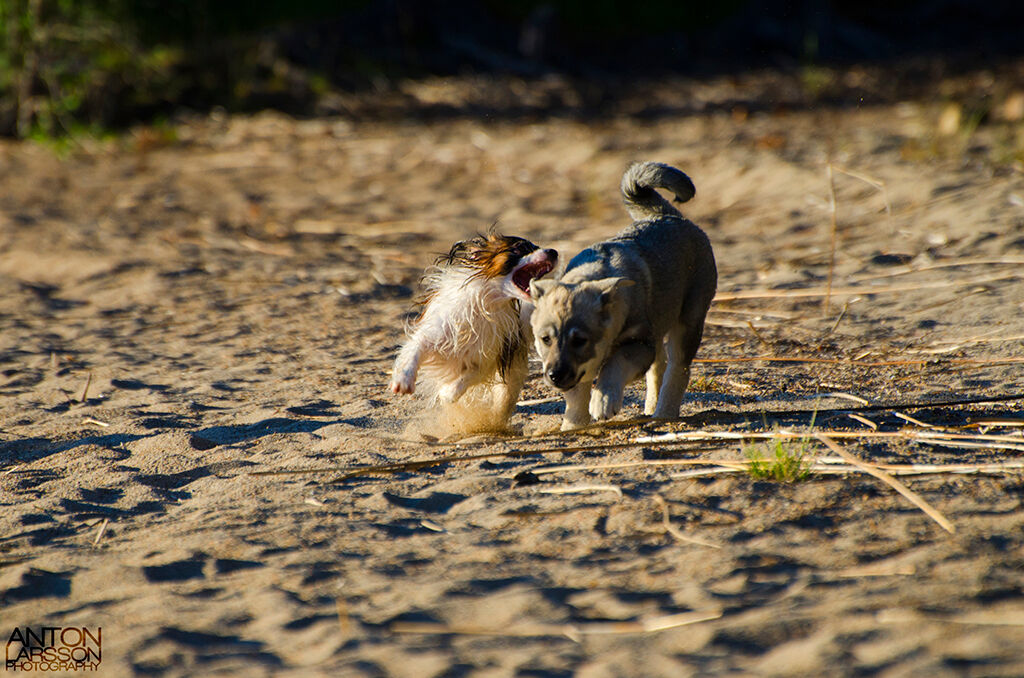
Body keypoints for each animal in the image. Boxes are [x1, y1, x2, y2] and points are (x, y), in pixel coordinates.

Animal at [390, 233, 557, 432]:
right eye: (519, 248)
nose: (553, 251)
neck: (486, 304)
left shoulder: (487, 359)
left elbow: (466, 379)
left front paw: (447, 393)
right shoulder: (432, 334)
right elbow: (414, 352)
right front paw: (403, 381)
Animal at [529, 161, 717, 430]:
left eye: (580, 340)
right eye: (545, 339)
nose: (554, 376)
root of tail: (670, 215)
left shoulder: (638, 344)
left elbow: (614, 365)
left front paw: (603, 401)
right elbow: (577, 392)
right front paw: (573, 426)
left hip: (689, 320)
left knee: (678, 368)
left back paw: (664, 414)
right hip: (659, 325)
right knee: (659, 367)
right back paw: (650, 408)